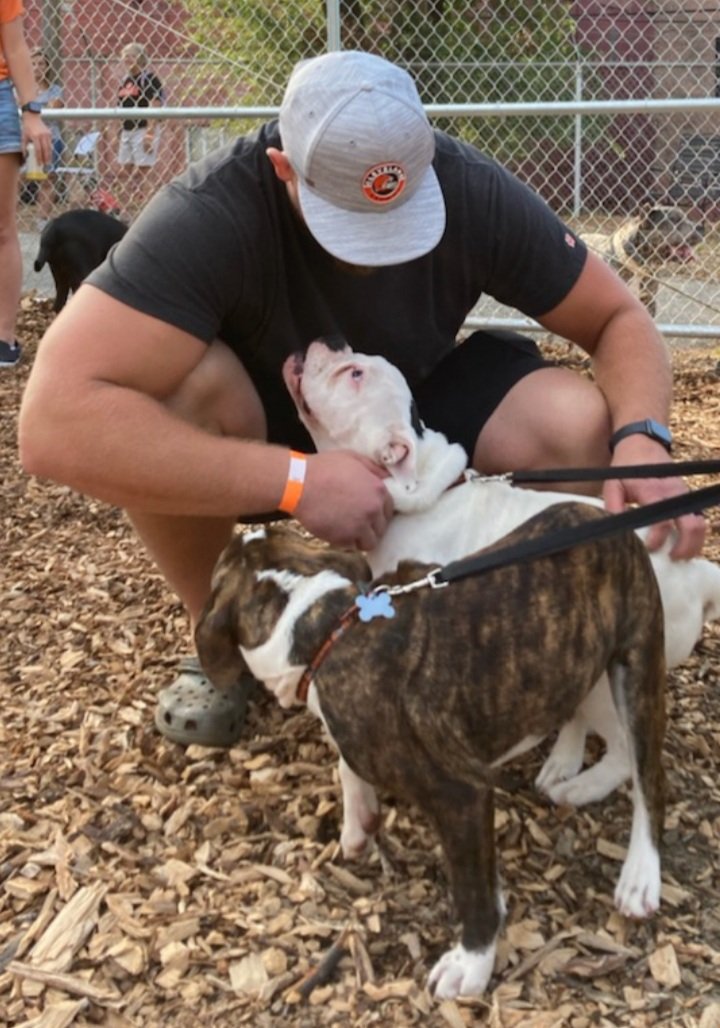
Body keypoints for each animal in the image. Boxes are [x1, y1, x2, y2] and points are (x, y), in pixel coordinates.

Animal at [194, 518, 666, 999]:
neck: (326, 623)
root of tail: (618, 528)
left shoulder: (461, 795)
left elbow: (471, 888)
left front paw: (473, 960)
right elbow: (347, 764)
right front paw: (358, 821)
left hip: (638, 667)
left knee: (647, 774)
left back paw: (639, 871)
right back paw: (569, 771)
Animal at [281, 337, 720, 801]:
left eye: (354, 375)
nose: (332, 340)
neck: (422, 489)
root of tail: (697, 572)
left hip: (610, 673)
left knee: (622, 750)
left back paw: (582, 788)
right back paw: (563, 760)